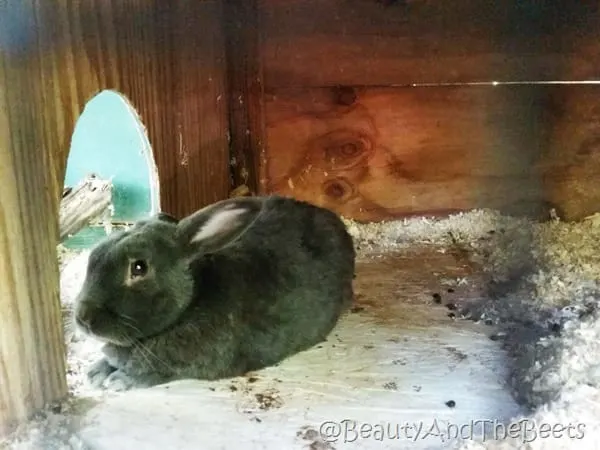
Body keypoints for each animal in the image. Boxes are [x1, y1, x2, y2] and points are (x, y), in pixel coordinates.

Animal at [74, 195, 356, 388]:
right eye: (94, 254)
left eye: (139, 267)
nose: (83, 318)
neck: (189, 303)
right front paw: (97, 372)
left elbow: (149, 372)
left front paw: (118, 380)